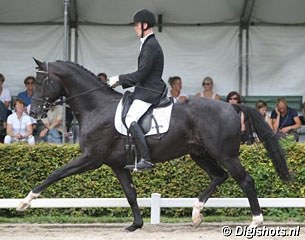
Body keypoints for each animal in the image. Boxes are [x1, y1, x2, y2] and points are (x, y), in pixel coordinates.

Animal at [17, 59, 290, 232]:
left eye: (41, 82)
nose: (34, 112)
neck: (96, 106)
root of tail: (231, 106)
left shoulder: (91, 158)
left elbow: (55, 174)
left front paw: (26, 201)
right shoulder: (117, 164)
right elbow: (130, 193)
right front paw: (135, 225)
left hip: (225, 154)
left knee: (245, 180)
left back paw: (256, 221)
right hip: (200, 153)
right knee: (219, 176)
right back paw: (196, 213)